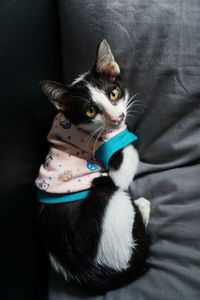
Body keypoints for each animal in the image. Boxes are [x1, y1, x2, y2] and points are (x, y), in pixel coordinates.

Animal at [37, 39, 150, 292]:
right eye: (91, 110)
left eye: (114, 93)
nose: (118, 118)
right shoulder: (109, 157)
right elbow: (128, 158)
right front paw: (129, 134)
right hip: (106, 196)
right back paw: (142, 206)